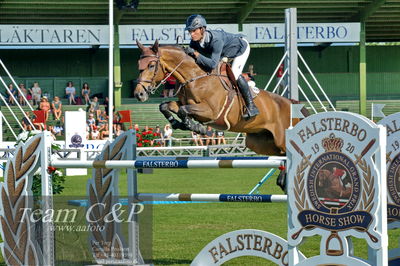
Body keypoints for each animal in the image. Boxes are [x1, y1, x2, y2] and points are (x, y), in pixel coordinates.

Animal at [133, 39, 304, 156]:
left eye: (151, 66)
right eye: (138, 66)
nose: (138, 94)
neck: (195, 78)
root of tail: (294, 104)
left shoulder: (212, 112)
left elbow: (183, 110)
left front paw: (197, 127)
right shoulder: (186, 104)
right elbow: (166, 106)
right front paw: (178, 124)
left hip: (282, 141)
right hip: (263, 143)